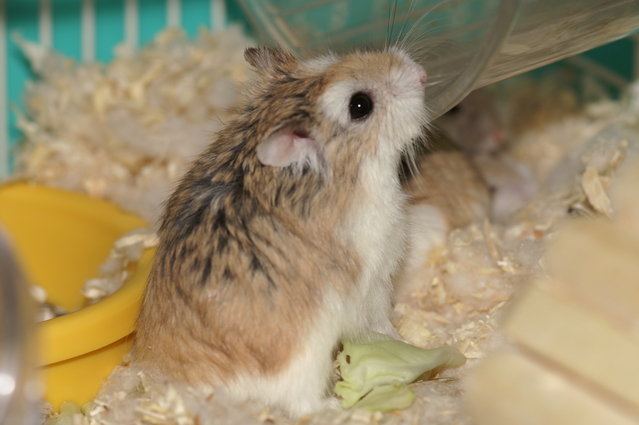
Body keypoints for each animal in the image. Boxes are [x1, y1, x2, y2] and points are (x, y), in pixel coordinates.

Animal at [132, 47, 428, 418]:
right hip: (306, 361)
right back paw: (338, 409)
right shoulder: (373, 284)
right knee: (303, 406)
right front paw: (406, 345)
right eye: (360, 105)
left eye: (331, 59)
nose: (421, 74)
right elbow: (380, 324)